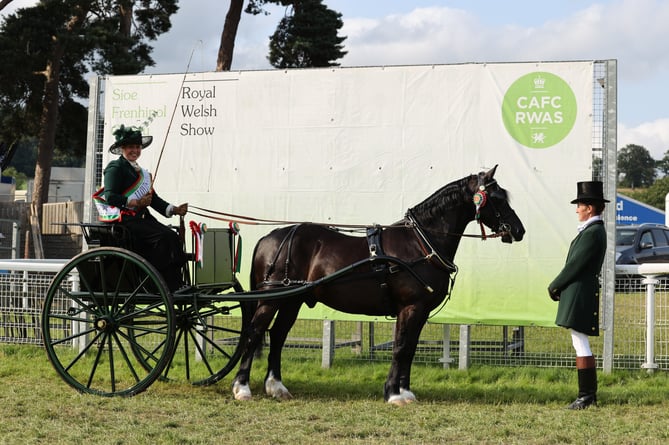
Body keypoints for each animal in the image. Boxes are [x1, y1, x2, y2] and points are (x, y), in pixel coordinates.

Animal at [232, 165, 524, 404]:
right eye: (497, 198)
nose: (519, 230)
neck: (419, 243)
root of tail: (271, 237)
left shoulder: (420, 311)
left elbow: (410, 348)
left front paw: (405, 391)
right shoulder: (410, 307)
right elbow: (401, 347)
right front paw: (394, 393)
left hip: (292, 301)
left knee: (277, 335)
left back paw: (276, 386)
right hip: (271, 299)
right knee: (255, 332)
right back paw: (242, 387)